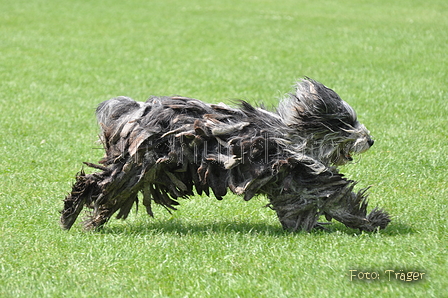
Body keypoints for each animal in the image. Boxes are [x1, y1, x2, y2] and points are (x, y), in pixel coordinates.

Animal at [61, 78, 390, 232]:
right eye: (346, 122)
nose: (371, 140)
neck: (289, 135)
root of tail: (131, 112)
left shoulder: (292, 184)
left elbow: (305, 207)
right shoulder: (299, 175)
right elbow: (338, 200)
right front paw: (373, 221)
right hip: (135, 168)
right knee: (97, 186)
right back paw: (72, 215)